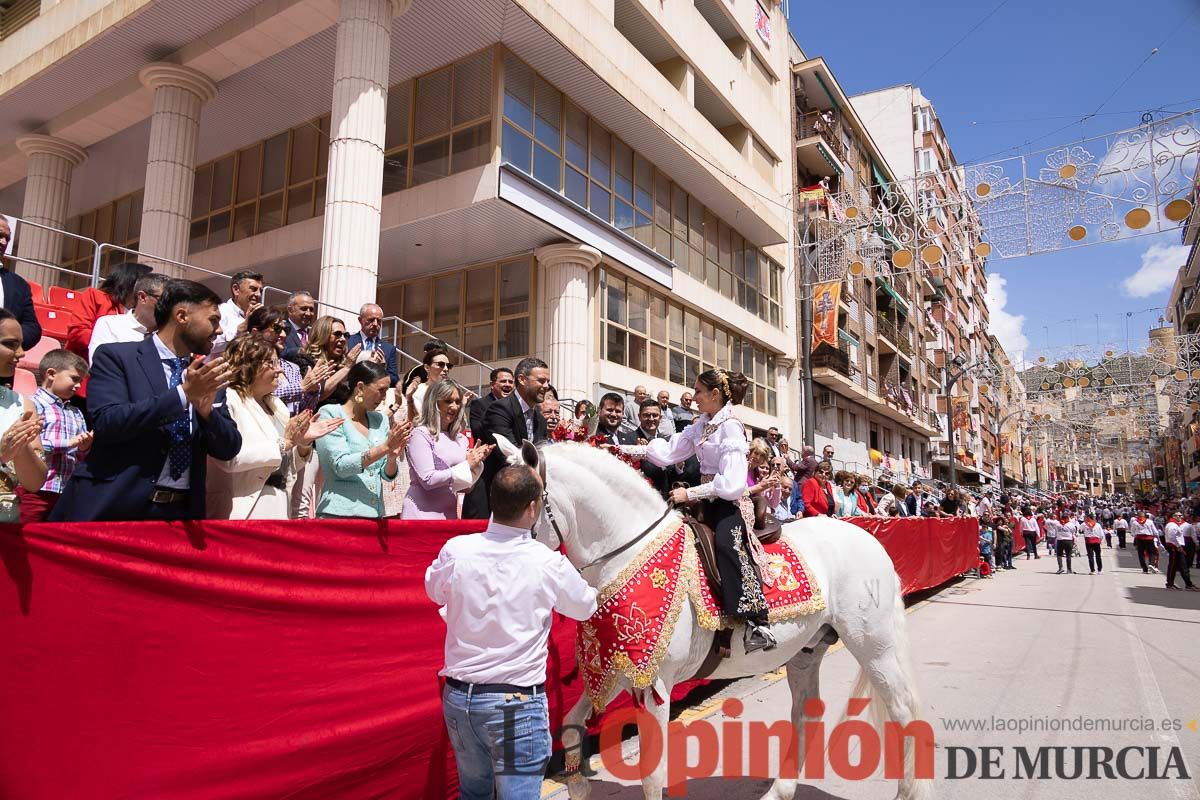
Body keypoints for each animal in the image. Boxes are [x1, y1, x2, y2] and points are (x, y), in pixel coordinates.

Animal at [492, 438, 931, 800]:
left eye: (516, 503)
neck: (625, 552)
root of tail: (870, 539)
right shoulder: (617, 668)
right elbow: (569, 725)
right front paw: (579, 785)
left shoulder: (654, 683)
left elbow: (652, 774)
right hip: (807, 651)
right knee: (806, 713)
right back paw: (779, 791)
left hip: (874, 645)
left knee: (903, 709)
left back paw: (907, 792)